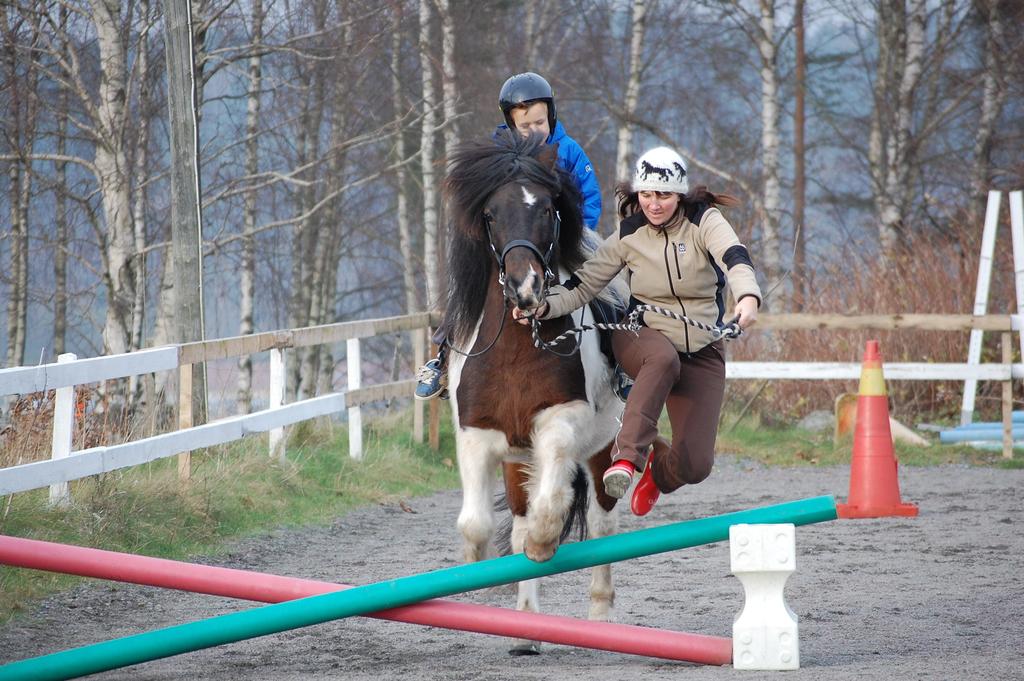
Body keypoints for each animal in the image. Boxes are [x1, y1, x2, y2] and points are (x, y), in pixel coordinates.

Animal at [442, 131, 622, 655]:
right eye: (490, 214)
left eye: (547, 208)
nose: (526, 288)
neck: (519, 347)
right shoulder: (477, 435)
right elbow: (476, 525)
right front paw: (480, 568)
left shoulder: (561, 421)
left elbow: (548, 515)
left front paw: (546, 544)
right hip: (516, 461)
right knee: (520, 521)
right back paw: (526, 630)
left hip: (602, 448)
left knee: (601, 524)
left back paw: (600, 619)